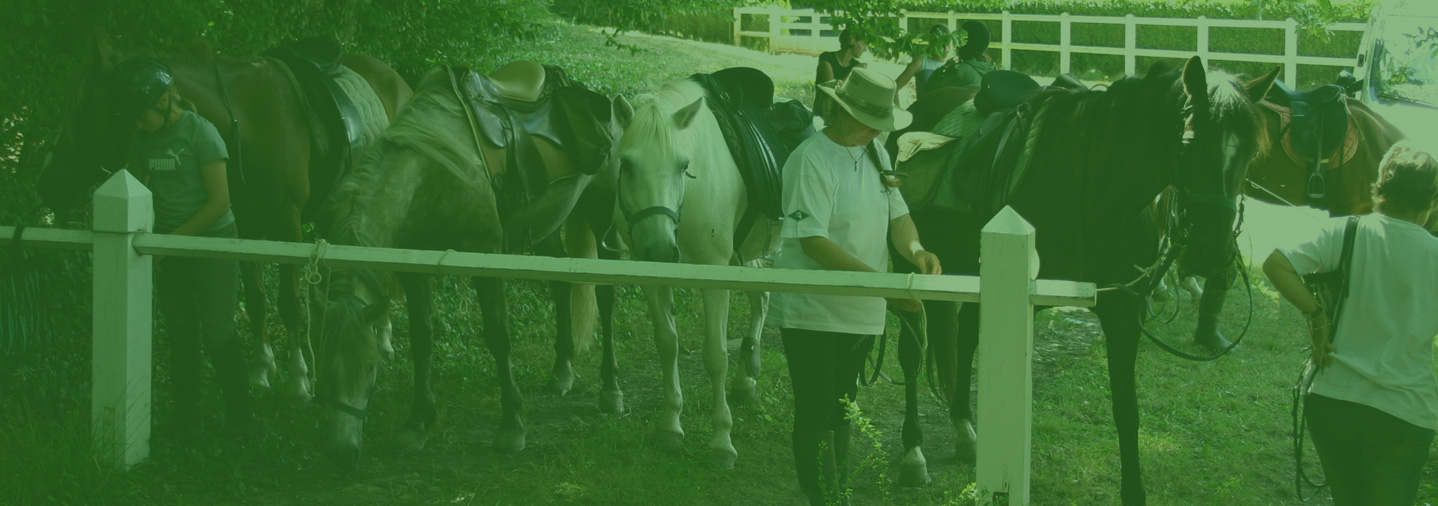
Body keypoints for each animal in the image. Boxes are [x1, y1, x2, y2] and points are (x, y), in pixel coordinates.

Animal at [35, 35, 417, 402]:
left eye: (92, 114)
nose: (47, 182)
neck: (246, 122)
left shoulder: (288, 225)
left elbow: (290, 303)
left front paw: (298, 381)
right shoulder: (245, 229)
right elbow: (257, 300)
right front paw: (262, 371)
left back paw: (382, 338)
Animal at [314, 64, 618, 471]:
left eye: (371, 368)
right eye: (321, 370)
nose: (340, 453)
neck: (430, 170)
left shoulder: (485, 257)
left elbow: (498, 338)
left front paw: (512, 424)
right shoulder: (413, 268)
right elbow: (422, 339)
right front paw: (418, 423)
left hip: (603, 213)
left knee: (606, 293)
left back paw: (611, 389)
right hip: (548, 226)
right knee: (561, 286)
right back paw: (562, 370)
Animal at [612, 79, 782, 471]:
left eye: (683, 165)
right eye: (626, 164)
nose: (660, 249)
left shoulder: (714, 276)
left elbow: (715, 356)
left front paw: (721, 442)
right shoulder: (651, 276)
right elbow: (667, 344)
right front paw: (670, 425)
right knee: (762, 297)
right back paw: (745, 380)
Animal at [885, 55, 1282, 503]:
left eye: (1252, 151)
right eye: (1187, 143)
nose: (1210, 252)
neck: (1100, 187)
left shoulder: (1124, 310)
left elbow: (1127, 410)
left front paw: (1134, 491)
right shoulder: (1028, 304)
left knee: (966, 338)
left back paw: (964, 431)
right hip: (909, 267)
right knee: (911, 354)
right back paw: (913, 452)